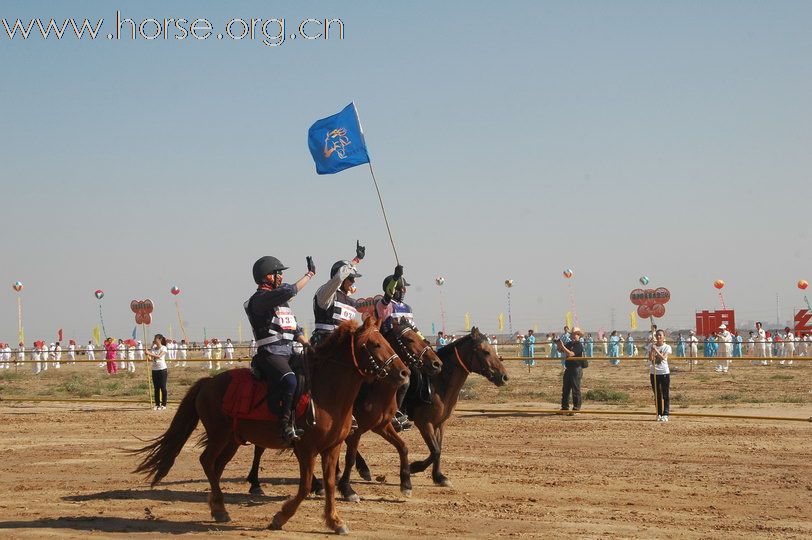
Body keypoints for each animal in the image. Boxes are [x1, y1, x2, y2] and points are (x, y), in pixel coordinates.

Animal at [136, 318, 412, 532]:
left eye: (387, 341)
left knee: (215, 466)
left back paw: (217, 507)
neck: (326, 394)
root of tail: (208, 382)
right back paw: (222, 508)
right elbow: (304, 487)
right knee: (207, 462)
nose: (404, 373)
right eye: (375, 344)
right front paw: (280, 517)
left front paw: (335, 521)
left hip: (232, 440)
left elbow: (331, 483)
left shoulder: (332, 447)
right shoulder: (306, 449)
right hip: (219, 435)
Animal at [247, 316, 444, 502]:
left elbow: (402, 447)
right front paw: (348, 487)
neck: (374, 390)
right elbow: (350, 457)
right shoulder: (355, 430)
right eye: (409, 339)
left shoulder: (381, 426)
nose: (437, 363)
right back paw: (256, 483)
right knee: (260, 448)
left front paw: (406, 483)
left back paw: (316, 484)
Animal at [356, 326, 508, 488]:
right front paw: (414, 467)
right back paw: (363, 469)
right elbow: (435, 450)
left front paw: (438, 476)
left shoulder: (440, 423)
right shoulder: (424, 423)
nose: (504, 377)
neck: (438, 384)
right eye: (485, 351)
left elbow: (438, 449)